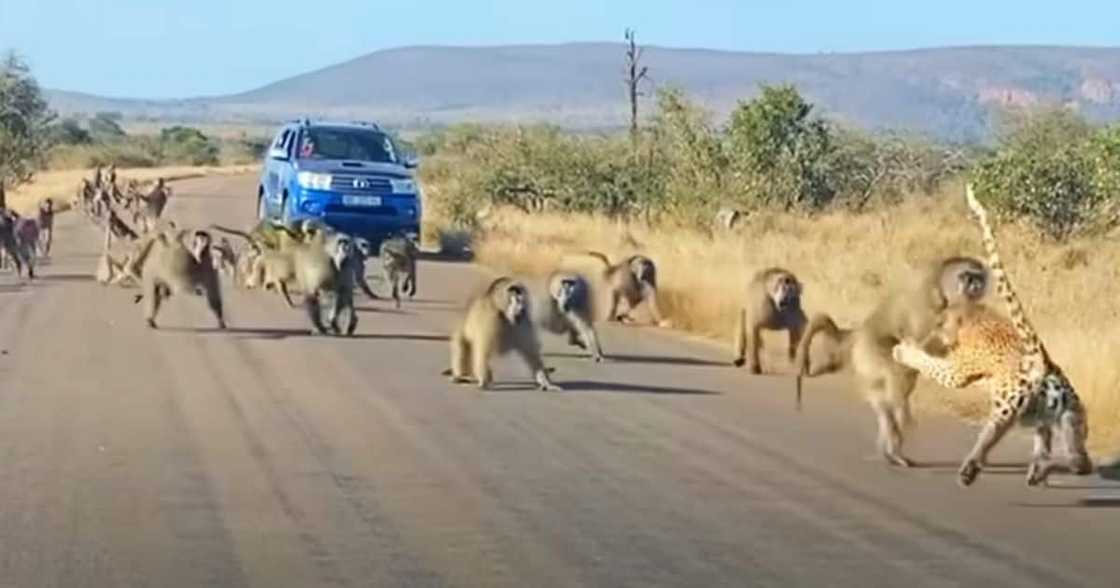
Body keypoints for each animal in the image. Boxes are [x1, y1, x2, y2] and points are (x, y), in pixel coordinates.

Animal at [887, 185, 1088, 488]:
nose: (936, 330)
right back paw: (1041, 470)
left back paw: (973, 471)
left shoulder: (957, 372)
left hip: (1008, 410)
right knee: (1074, 456)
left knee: (993, 437)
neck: (970, 312)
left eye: (942, 322)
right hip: (1064, 415)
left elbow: (932, 364)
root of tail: (1042, 362)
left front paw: (903, 350)